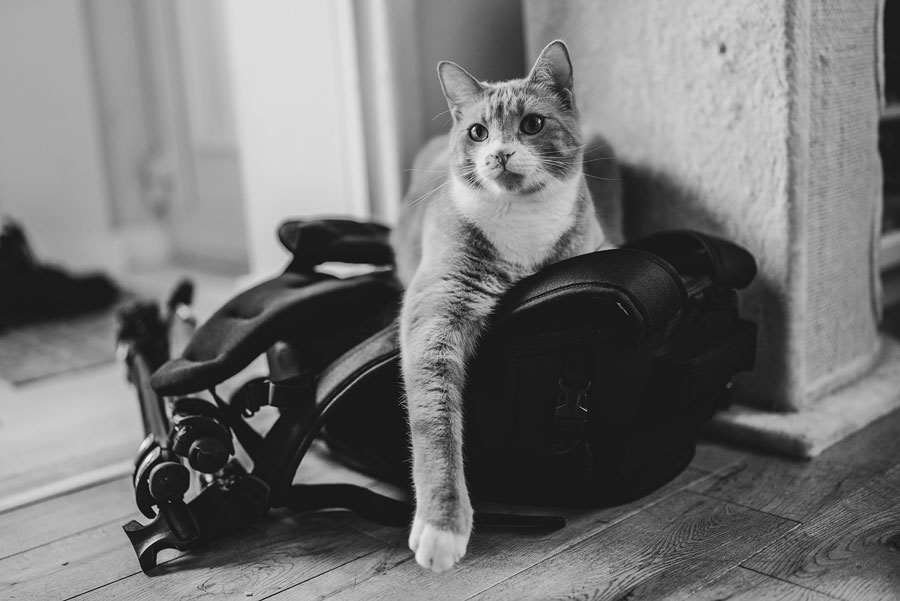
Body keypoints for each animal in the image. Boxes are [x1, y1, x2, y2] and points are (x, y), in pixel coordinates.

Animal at [390, 38, 624, 572]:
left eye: (532, 124)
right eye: (478, 132)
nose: (498, 153)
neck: (522, 224)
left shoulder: (598, 243)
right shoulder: (437, 301)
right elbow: (435, 417)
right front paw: (442, 526)